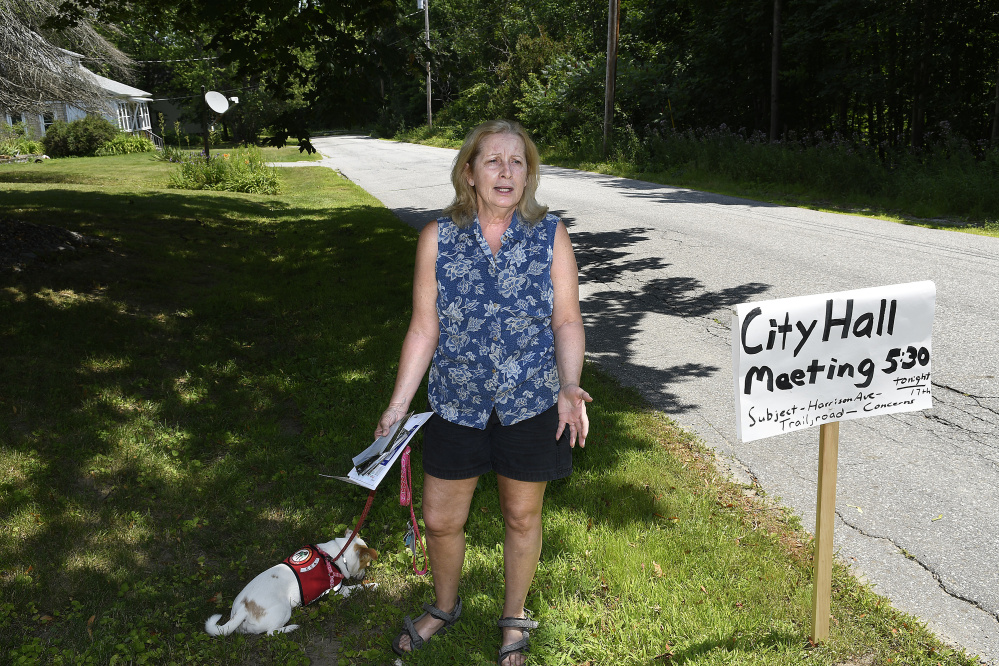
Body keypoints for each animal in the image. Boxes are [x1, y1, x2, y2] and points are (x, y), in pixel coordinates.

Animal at [205, 528, 376, 632]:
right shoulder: (338, 591)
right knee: (271, 633)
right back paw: (292, 627)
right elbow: (359, 587)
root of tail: (242, 609)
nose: (363, 575)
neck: (338, 554)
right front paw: (374, 585)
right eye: (366, 564)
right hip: (284, 610)